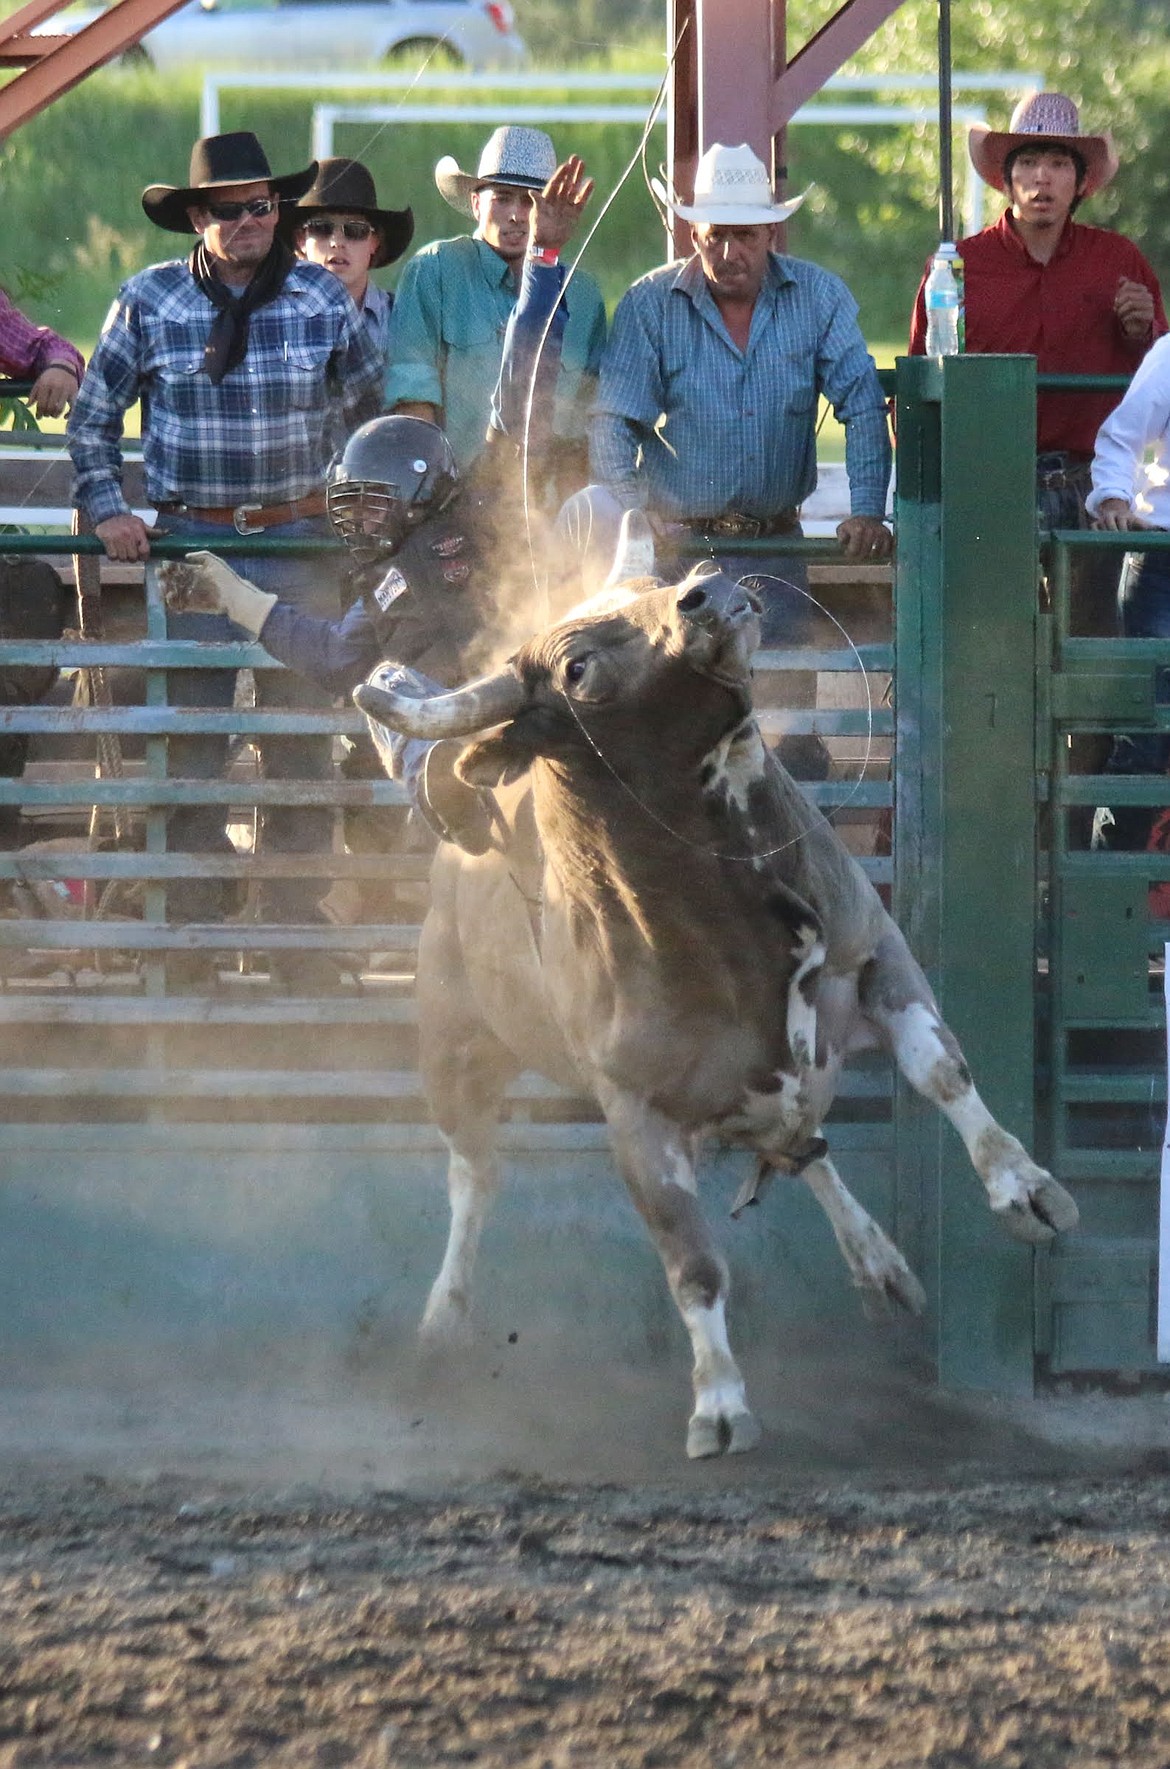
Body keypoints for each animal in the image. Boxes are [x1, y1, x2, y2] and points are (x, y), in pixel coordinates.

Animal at [352, 516, 1083, 1457]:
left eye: (655, 588)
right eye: (578, 666)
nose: (707, 590)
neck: (726, 914)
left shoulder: (873, 952)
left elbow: (942, 1073)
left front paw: (1024, 1188)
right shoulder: (634, 1109)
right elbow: (691, 1261)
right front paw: (720, 1402)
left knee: (803, 1144)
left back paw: (880, 1265)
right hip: (454, 1044)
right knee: (473, 1173)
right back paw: (444, 1320)